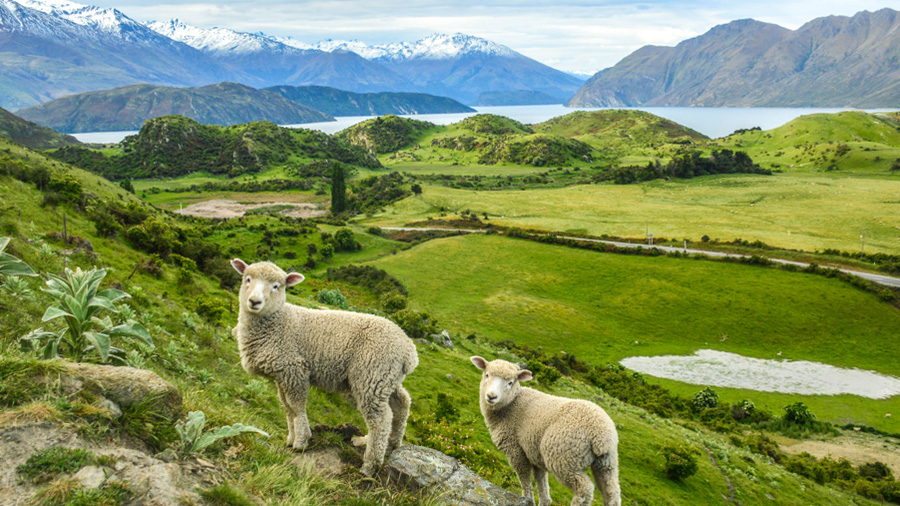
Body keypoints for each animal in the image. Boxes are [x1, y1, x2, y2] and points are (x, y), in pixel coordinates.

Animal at [230, 258, 416, 476]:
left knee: (381, 419)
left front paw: (301, 441)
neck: (280, 321)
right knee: (402, 403)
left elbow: (296, 406)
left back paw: (370, 464)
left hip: (371, 376)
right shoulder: (281, 376)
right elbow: (287, 408)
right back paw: (390, 444)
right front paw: (290, 439)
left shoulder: (295, 370)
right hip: (386, 378)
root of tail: (408, 350)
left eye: (277, 286)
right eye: (247, 279)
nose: (254, 301)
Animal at [472, 356, 620, 506]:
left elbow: (524, 477)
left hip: (564, 458)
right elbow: (541, 482)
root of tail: (601, 436)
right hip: (607, 462)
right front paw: (544, 501)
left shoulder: (515, 450)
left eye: (510, 382)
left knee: (584, 489)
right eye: (487, 375)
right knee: (611, 492)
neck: (511, 405)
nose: (491, 396)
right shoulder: (534, 453)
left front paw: (527, 499)